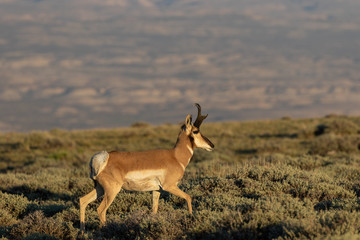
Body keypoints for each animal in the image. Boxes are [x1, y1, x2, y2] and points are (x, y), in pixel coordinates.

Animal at [79, 103, 214, 232]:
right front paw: (191, 217)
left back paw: (82, 232)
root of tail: (104, 157)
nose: (211, 145)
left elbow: (154, 210)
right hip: (112, 191)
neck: (175, 156)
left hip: (100, 189)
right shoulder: (170, 186)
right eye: (196, 131)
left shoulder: (157, 190)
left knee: (83, 200)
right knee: (101, 210)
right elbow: (188, 197)